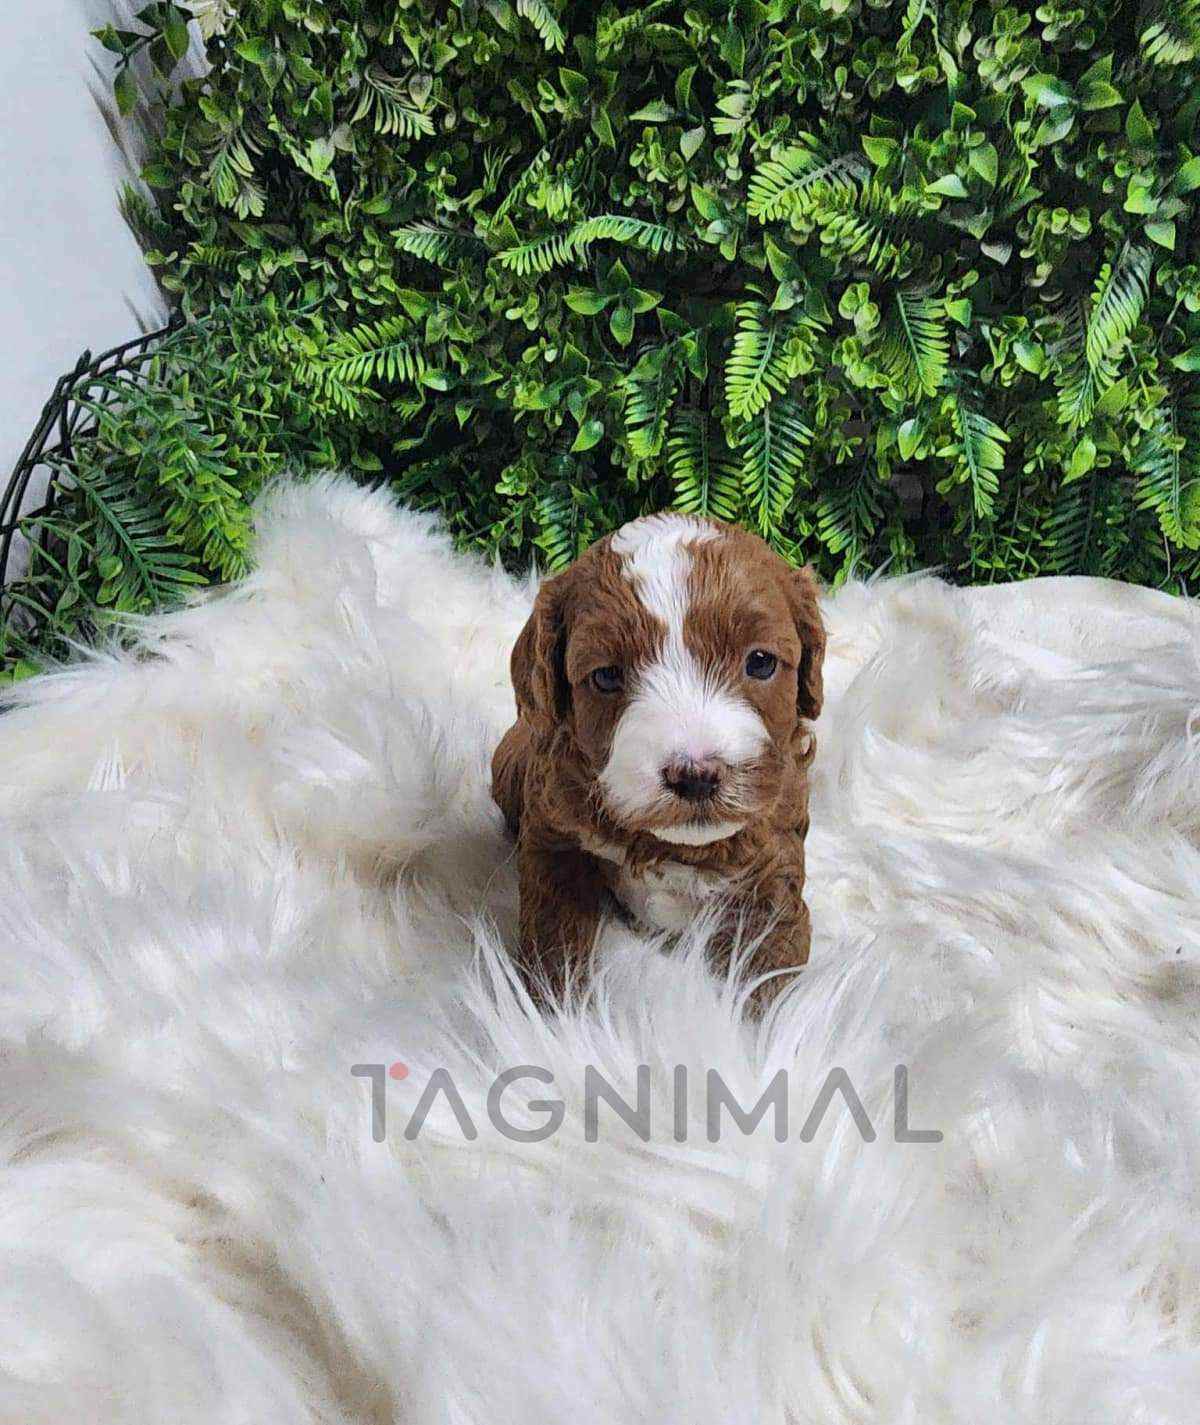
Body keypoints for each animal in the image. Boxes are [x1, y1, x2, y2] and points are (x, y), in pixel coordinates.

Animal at [491, 512, 826, 1010]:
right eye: (606, 676)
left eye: (761, 662)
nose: (696, 775)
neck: (672, 845)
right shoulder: (555, 837)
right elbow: (556, 936)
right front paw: (557, 1013)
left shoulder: (773, 866)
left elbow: (768, 971)